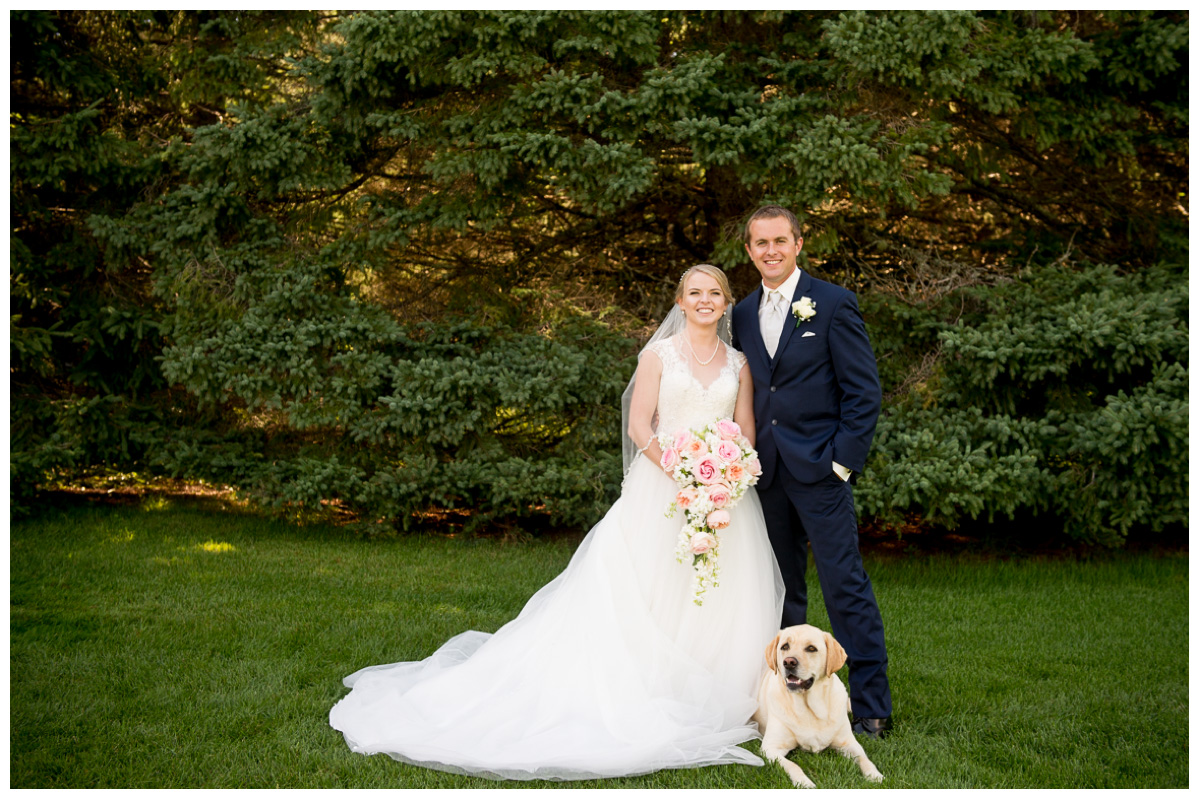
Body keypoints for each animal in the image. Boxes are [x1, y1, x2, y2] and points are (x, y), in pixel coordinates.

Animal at [753, 623, 888, 786]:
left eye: (811, 648)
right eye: (785, 646)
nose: (789, 662)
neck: (810, 708)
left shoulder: (848, 742)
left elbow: (864, 758)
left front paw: (875, 775)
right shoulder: (770, 748)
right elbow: (793, 765)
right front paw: (804, 783)